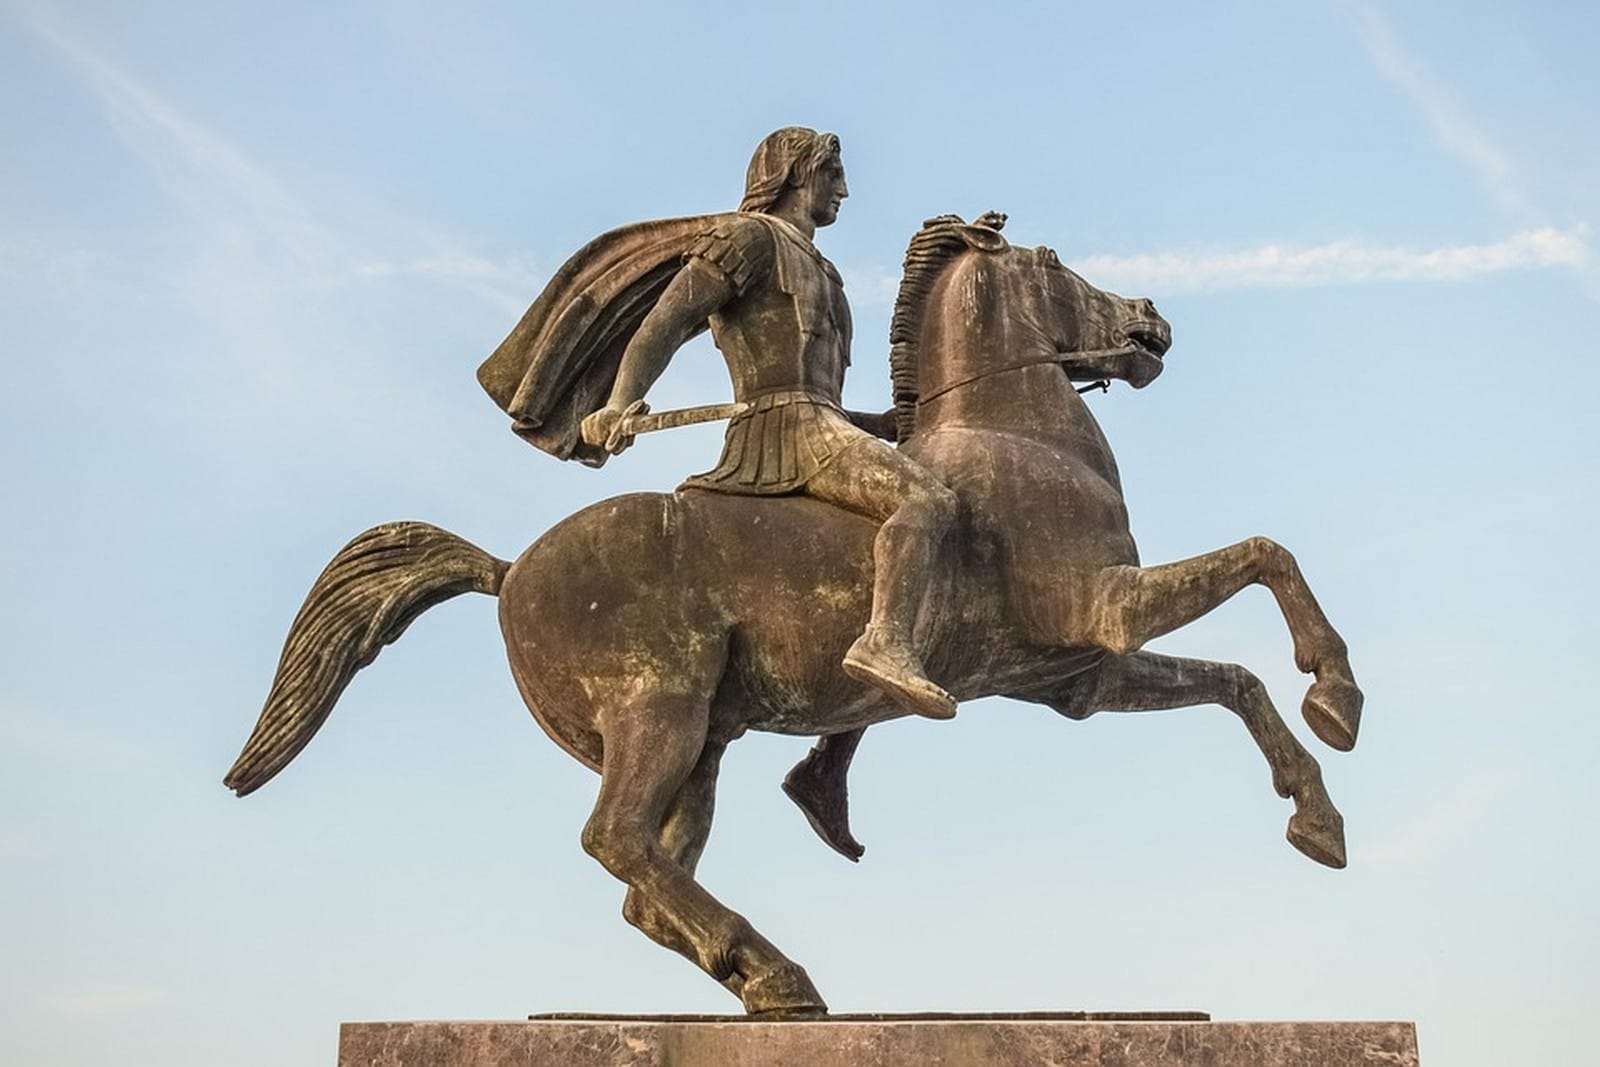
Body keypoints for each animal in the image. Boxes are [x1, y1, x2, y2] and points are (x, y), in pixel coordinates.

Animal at [225, 211, 1363, 1017]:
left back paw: (765, 965)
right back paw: (780, 972)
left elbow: (1237, 681)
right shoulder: (1109, 611)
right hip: (659, 711)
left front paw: (1318, 812)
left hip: (701, 742)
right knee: (616, 840)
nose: (1149, 321)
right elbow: (1268, 557)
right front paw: (1340, 695)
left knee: (647, 880)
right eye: (1052, 260)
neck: (1018, 434)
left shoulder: (1077, 673)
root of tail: (508, 571)